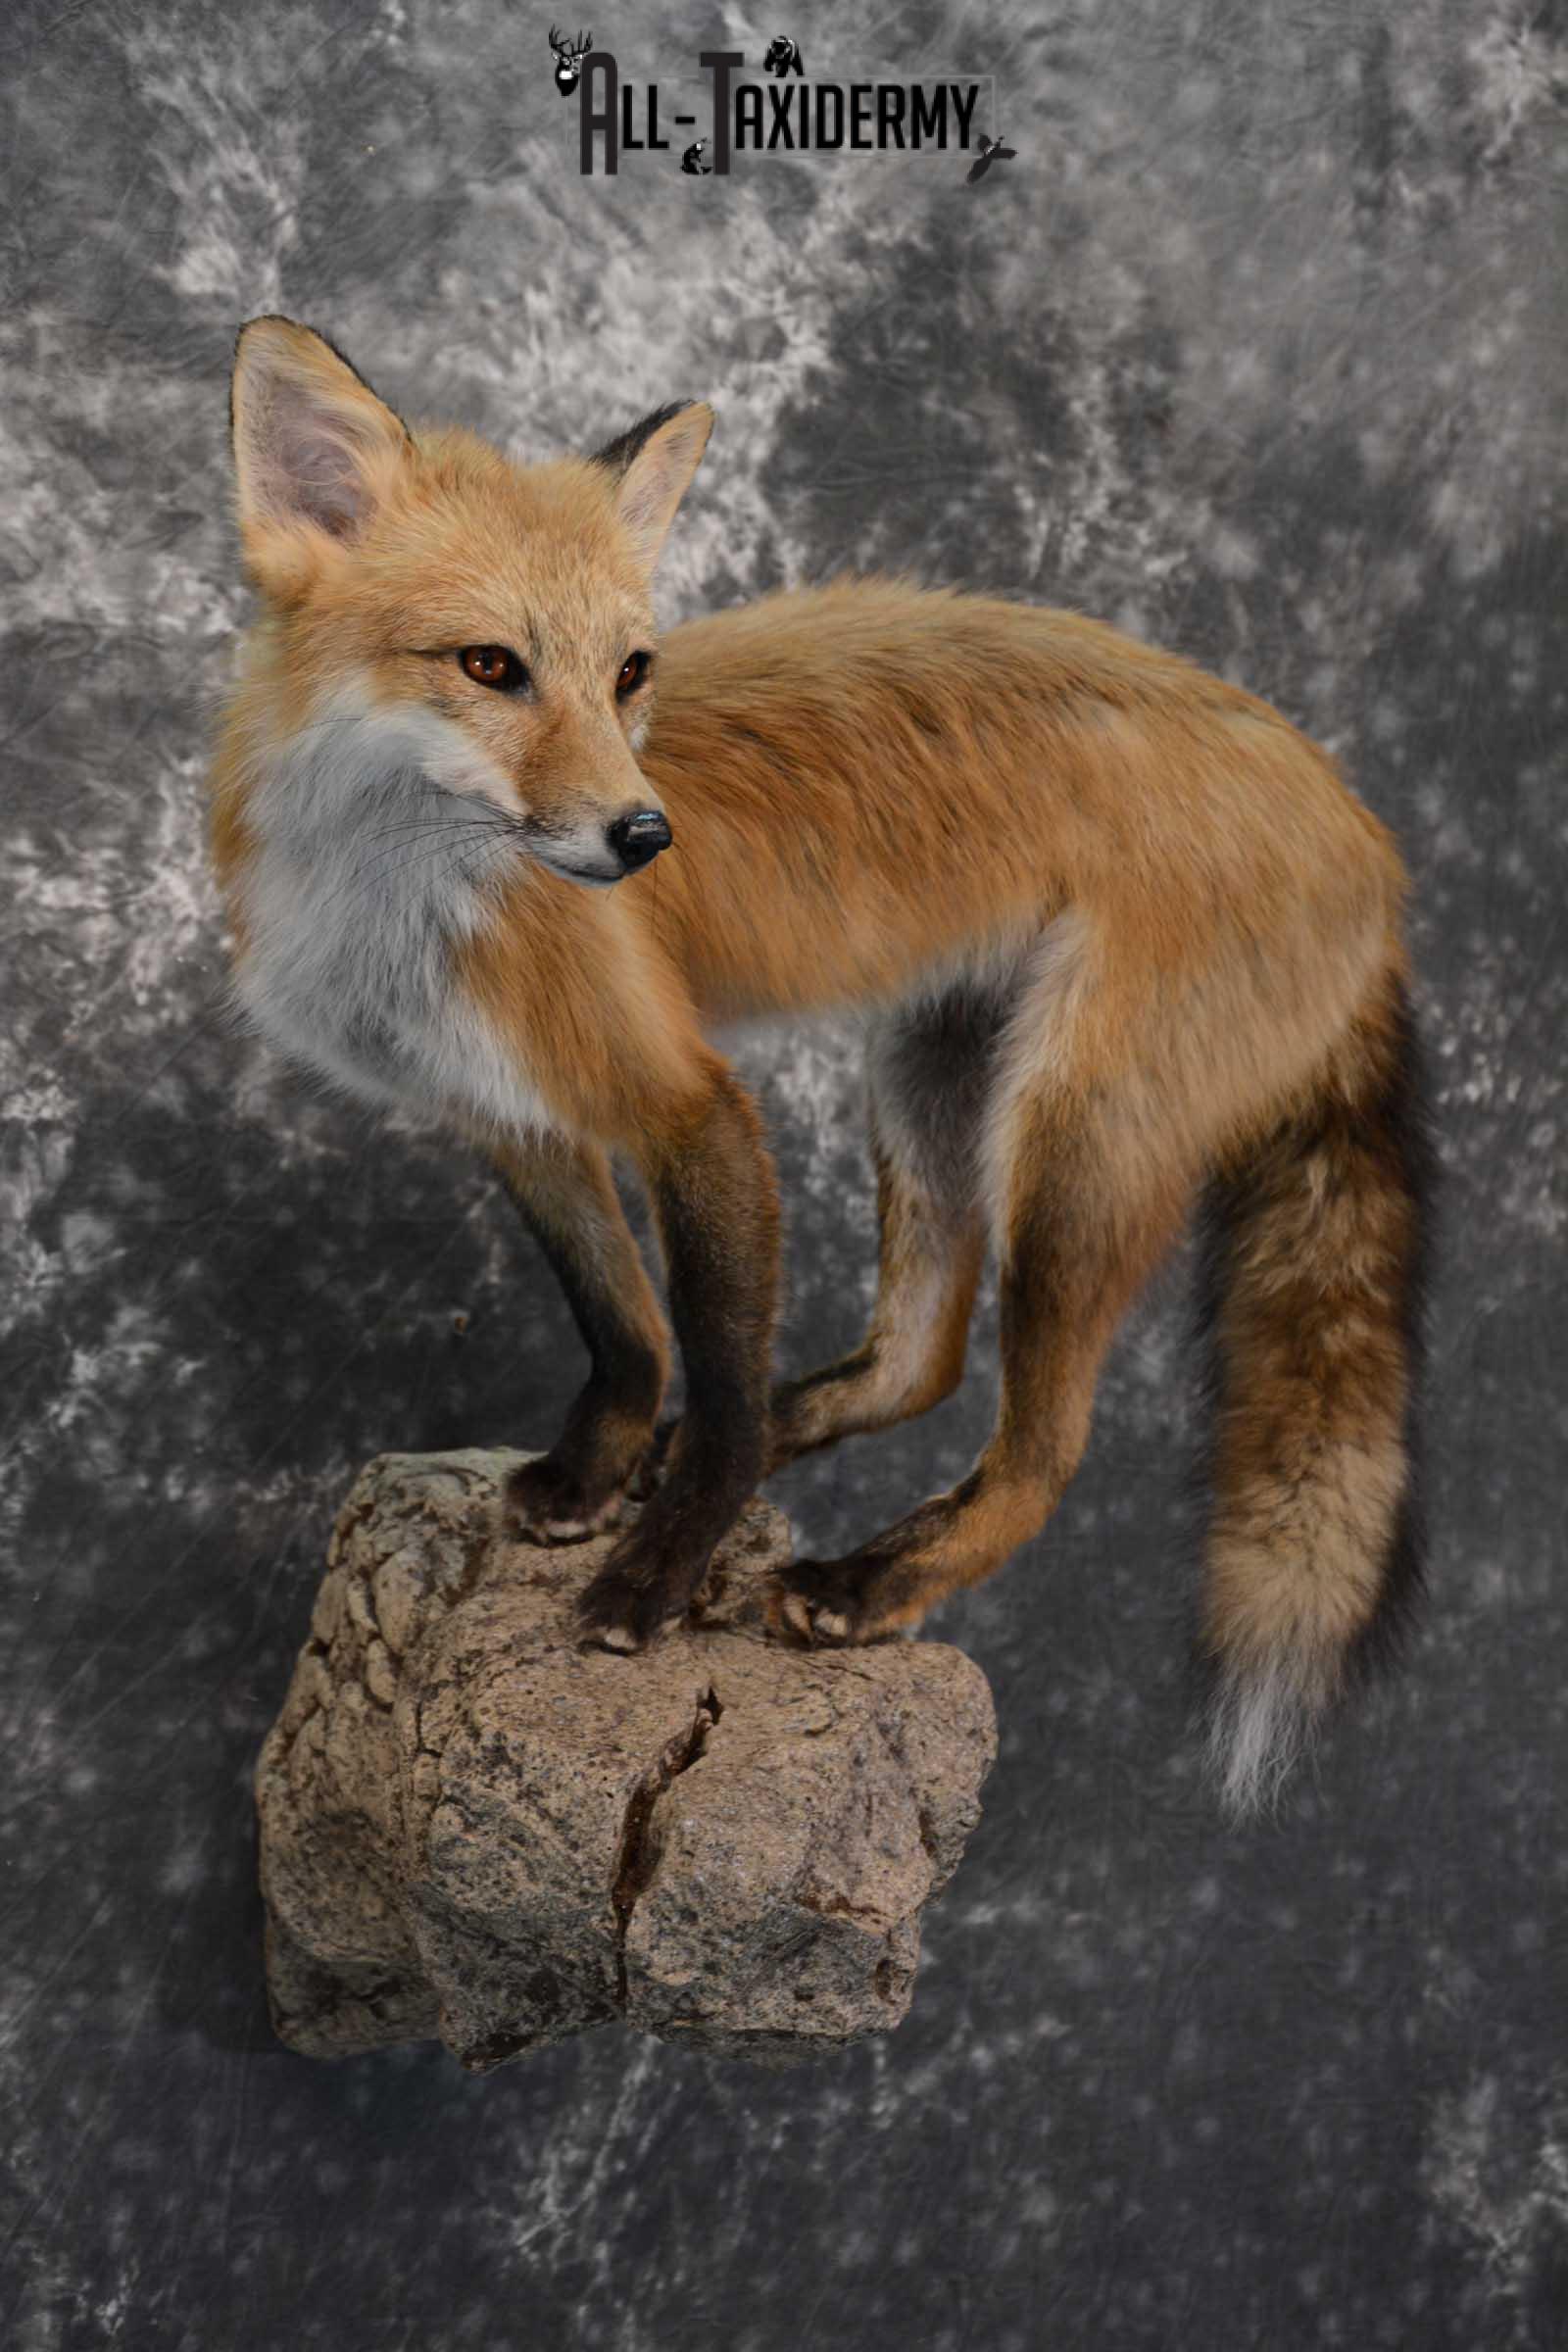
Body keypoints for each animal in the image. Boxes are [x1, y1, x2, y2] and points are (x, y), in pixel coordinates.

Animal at [206, 315, 1437, 1814]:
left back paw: (869, 1583)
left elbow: (719, 1371)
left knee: (1042, 1452)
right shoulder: (513, 1114)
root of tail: (1368, 840)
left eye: (629, 671)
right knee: (922, 1360)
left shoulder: (688, 1104)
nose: (642, 836)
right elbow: (626, 1322)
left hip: (1070, 1149)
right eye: (490, 666)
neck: (396, 910)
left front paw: (661, 1571)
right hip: (929, 1082)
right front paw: (599, 1472)